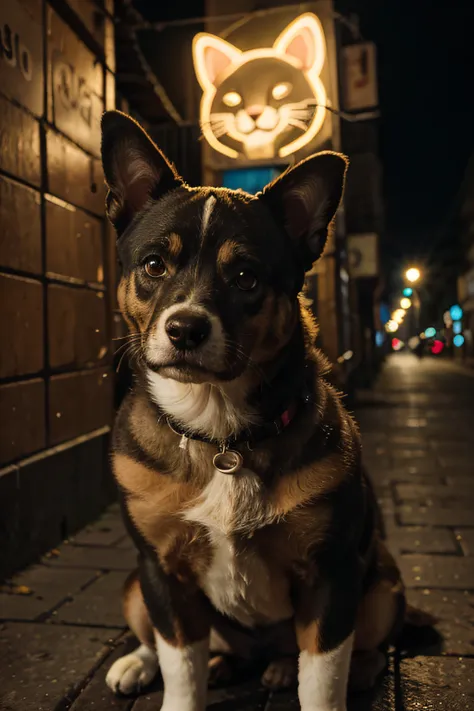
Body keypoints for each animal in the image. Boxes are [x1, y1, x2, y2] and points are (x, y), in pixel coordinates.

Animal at [100, 111, 404, 711]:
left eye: (246, 277)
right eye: (154, 265)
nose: (185, 329)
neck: (220, 437)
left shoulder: (331, 576)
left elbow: (323, 679)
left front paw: (325, 681)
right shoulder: (161, 570)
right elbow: (180, 668)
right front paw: (176, 677)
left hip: (383, 583)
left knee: (360, 645)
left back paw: (307, 668)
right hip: (131, 586)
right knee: (160, 638)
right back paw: (154, 663)